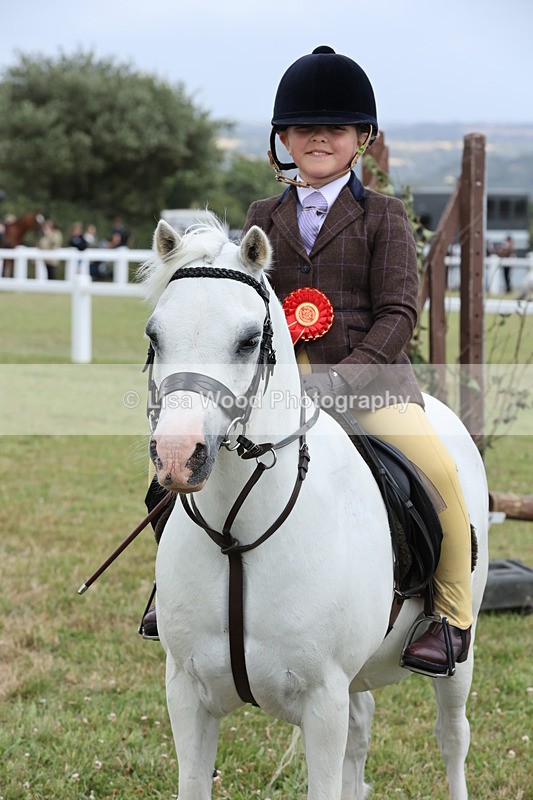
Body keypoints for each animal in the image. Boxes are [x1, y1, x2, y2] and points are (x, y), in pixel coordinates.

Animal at [138, 218, 489, 800]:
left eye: (248, 340)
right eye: (154, 335)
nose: (177, 455)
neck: (238, 536)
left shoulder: (323, 702)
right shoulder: (186, 693)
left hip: (459, 653)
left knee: (453, 736)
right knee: (363, 731)